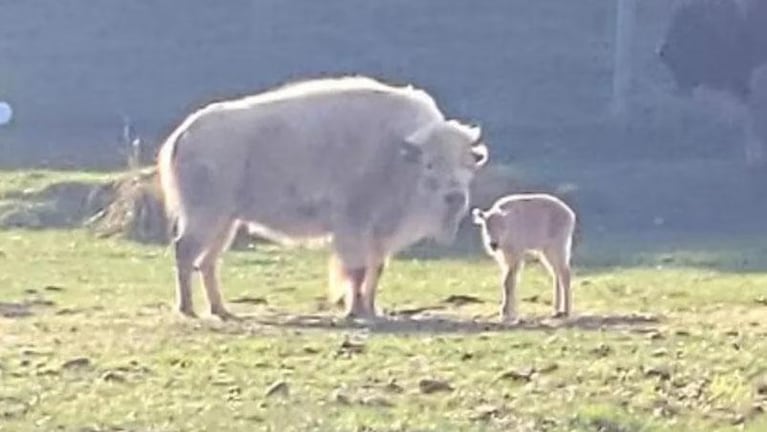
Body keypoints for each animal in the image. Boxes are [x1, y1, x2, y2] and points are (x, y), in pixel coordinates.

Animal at [157, 76, 488, 318]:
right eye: (430, 164)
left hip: (226, 221)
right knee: (185, 251)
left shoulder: (380, 233)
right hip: (206, 216)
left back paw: (221, 310)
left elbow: (375, 269)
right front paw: (354, 311)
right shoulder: (353, 225)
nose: (455, 196)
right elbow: (355, 270)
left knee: (207, 261)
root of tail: (185, 132)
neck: (398, 154)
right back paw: (188, 309)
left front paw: (372, 309)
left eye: (468, 164)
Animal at [474, 194, 576, 322]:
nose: (493, 244)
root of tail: (570, 215)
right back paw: (556, 310)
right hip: (545, 251)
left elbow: (508, 281)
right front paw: (510, 312)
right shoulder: (505, 257)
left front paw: (505, 313)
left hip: (557, 247)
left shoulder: (516, 255)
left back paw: (566, 311)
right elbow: (509, 281)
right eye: (486, 226)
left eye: (502, 227)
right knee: (556, 273)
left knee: (565, 273)